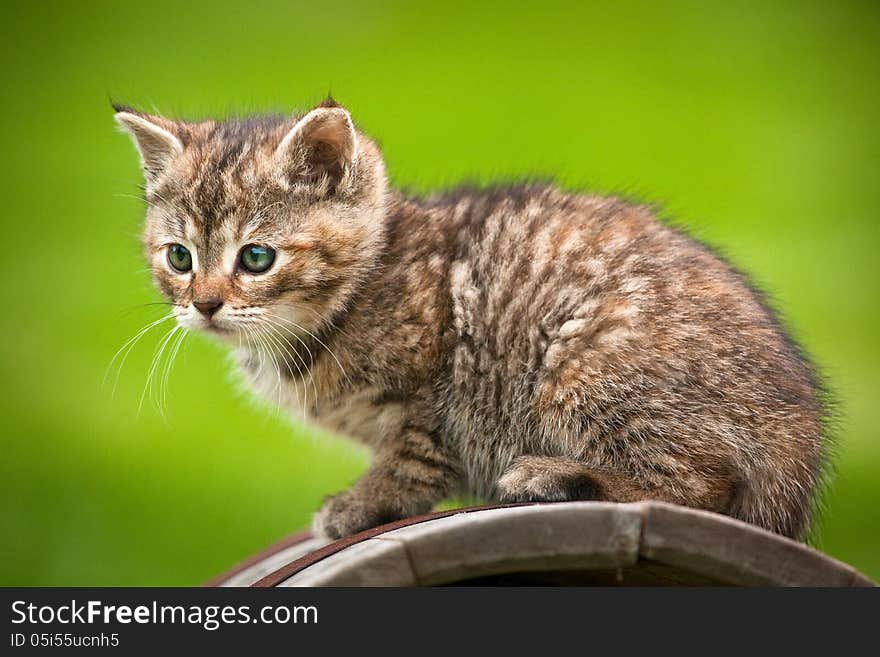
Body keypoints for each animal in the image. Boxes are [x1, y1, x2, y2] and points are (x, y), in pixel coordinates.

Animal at [113, 97, 828, 540]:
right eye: (179, 257)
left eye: (256, 257)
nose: (205, 304)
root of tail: (798, 434)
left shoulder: (430, 392)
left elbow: (411, 459)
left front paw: (361, 504)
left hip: (585, 363)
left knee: (704, 485)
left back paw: (553, 475)